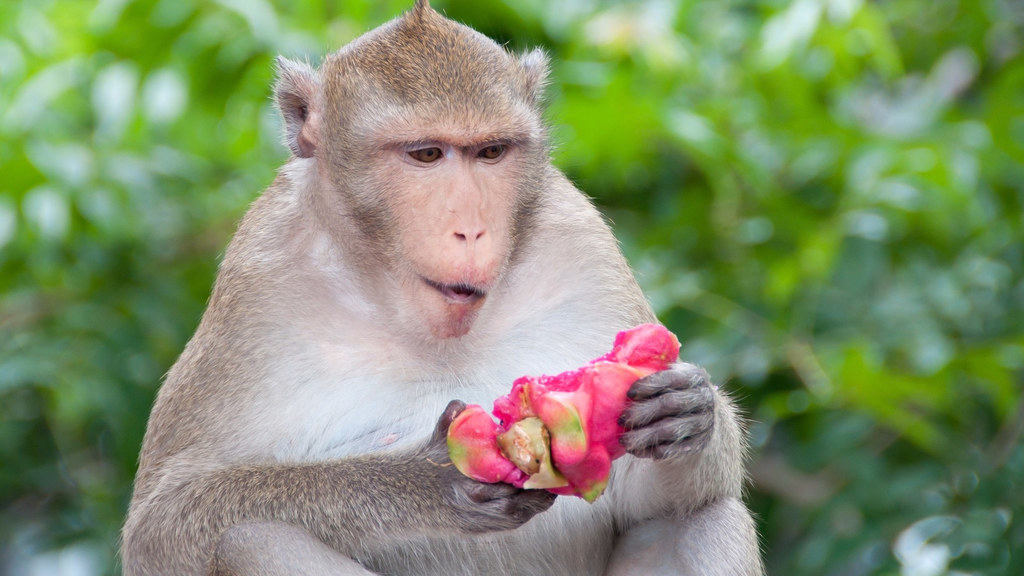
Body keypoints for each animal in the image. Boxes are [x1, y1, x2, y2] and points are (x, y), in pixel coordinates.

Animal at [119, 2, 761, 569]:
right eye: (427, 154)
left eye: (491, 152)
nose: (471, 229)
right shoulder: (260, 272)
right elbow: (162, 525)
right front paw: (424, 480)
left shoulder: (578, 237)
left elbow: (654, 501)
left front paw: (684, 409)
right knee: (254, 539)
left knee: (706, 518)